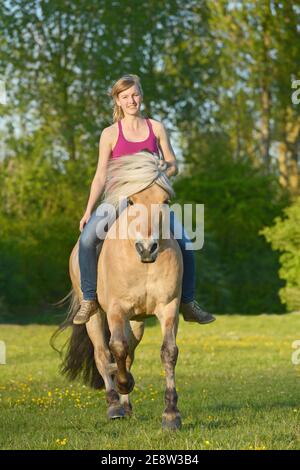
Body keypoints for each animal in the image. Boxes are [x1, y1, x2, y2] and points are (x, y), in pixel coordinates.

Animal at [55, 152, 184, 432]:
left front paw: (171, 414)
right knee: (103, 355)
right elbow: (117, 348)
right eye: (132, 200)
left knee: (130, 351)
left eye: (165, 201)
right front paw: (124, 384)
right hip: (95, 316)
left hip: (136, 321)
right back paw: (115, 405)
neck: (142, 263)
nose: (147, 248)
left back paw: (126, 405)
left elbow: (168, 352)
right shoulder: (115, 310)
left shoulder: (168, 307)